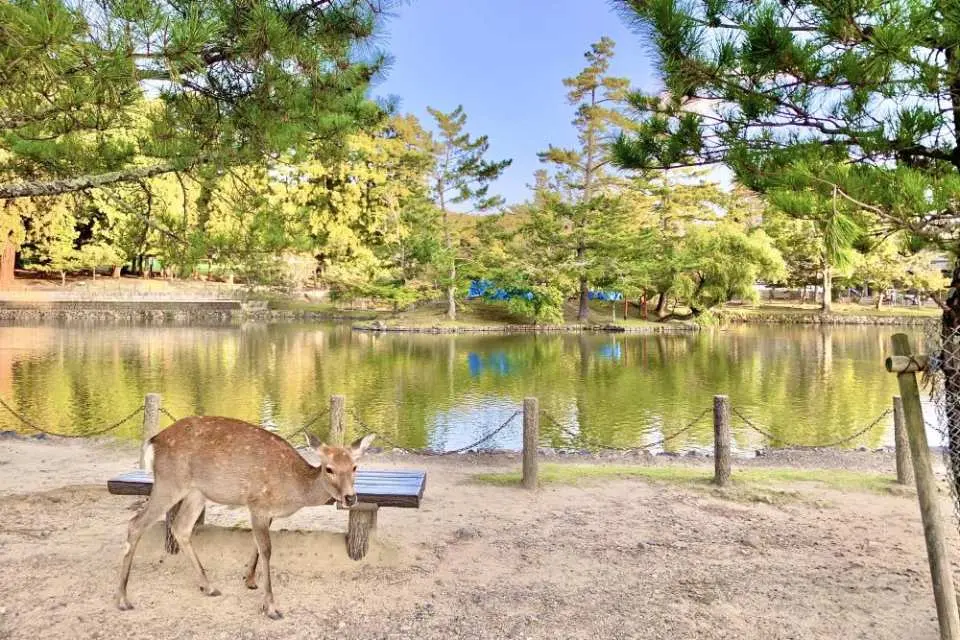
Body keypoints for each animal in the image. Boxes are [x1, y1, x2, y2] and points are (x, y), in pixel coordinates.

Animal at [115, 415, 375, 619]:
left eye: (355, 467)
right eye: (329, 468)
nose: (350, 498)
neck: (292, 491)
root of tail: (153, 441)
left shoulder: (264, 511)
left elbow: (257, 545)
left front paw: (249, 580)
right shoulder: (257, 504)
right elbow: (267, 549)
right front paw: (271, 607)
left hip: (197, 492)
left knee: (181, 528)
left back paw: (209, 586)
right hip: (169, 483)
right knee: (135, 523)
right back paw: (123, 599)